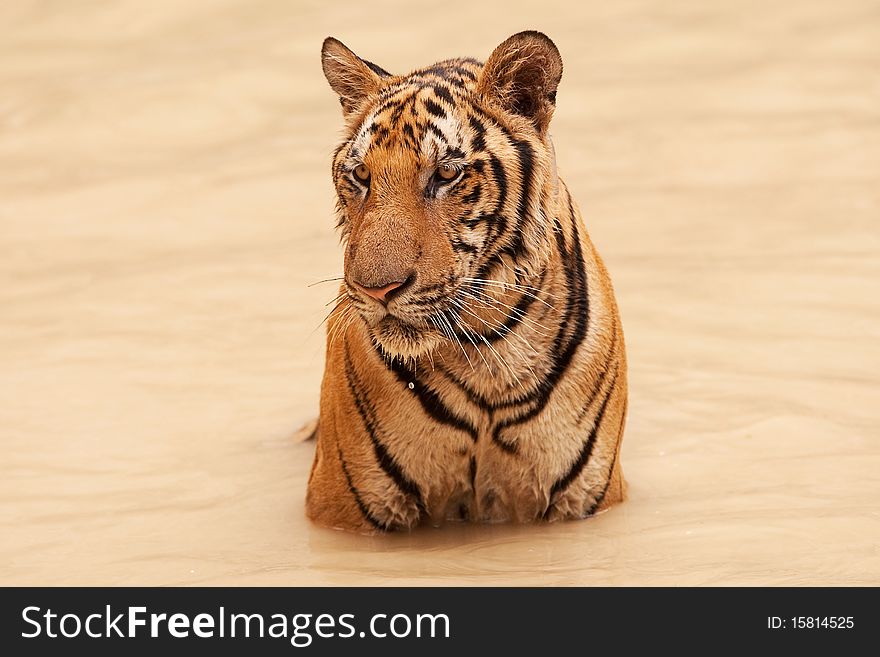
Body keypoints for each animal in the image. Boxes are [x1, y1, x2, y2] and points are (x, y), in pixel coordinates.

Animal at [306, 32, 628, 532]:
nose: (377, 290)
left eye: (445, 174)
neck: (486, 357)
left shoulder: (586, 497)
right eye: (361, 175)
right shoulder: (342, 505)